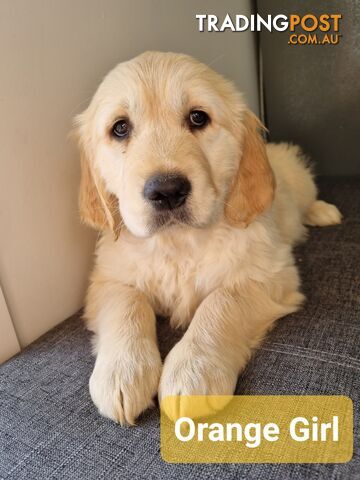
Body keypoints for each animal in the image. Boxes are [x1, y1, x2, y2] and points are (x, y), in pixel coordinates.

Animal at [75, 50, 340, 424]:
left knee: (309, 197)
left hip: (298, 179)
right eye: (120, 128)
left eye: (198, 118)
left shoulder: (270, 274)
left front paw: (192, 373)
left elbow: (220, 304)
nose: (167, 191)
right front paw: (120, 372)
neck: (179, 241)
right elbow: (127, 305)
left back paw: (322, 212)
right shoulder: (107, 278)